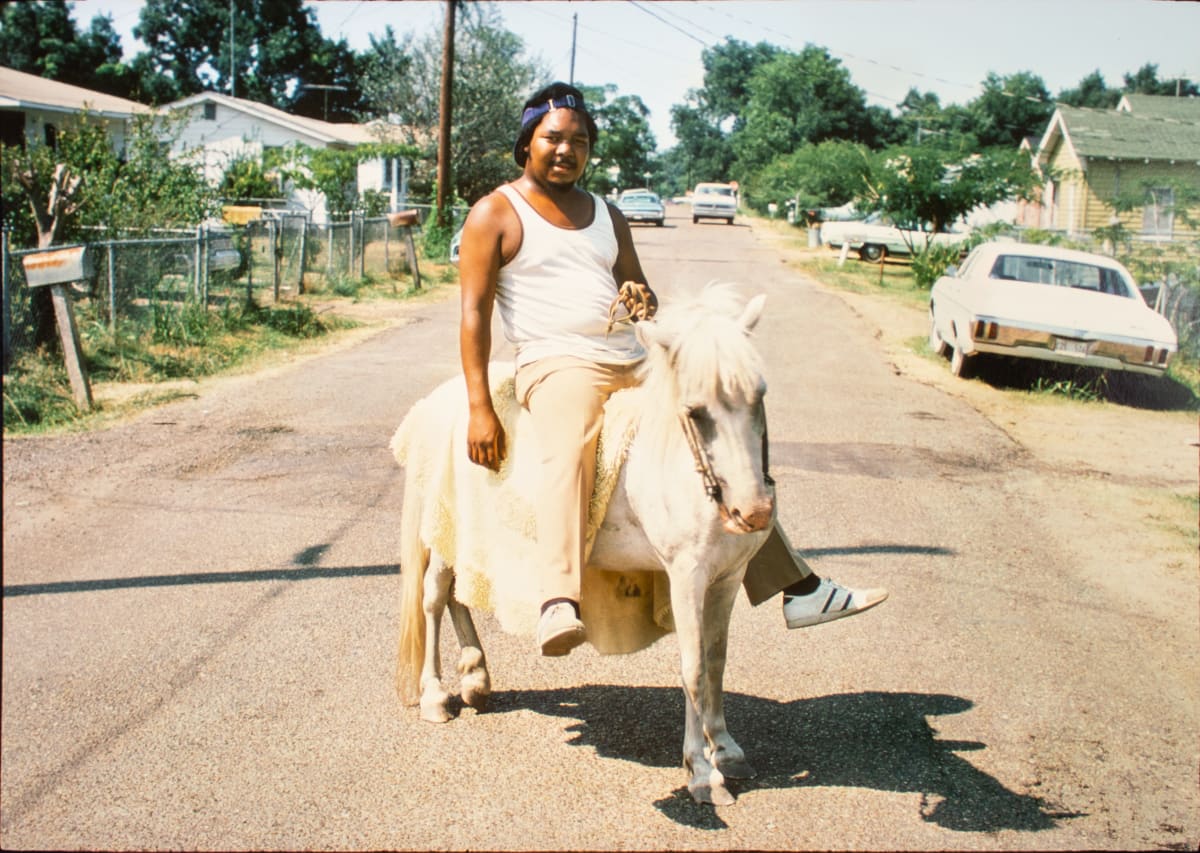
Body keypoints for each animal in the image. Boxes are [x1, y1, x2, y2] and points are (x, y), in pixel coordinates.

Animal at [388, 286, 772, 806]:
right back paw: (435, 695)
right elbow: (692, 669)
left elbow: (716, 662)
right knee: (432, 597)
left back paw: (476, 679)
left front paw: (727, 750)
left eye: (759, 396)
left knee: (456, 594)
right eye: (695, 412)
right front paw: (701, 772)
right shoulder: (687, 577)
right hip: (446, 525)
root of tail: (439, 402)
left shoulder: (727, 578)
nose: (753, 513)